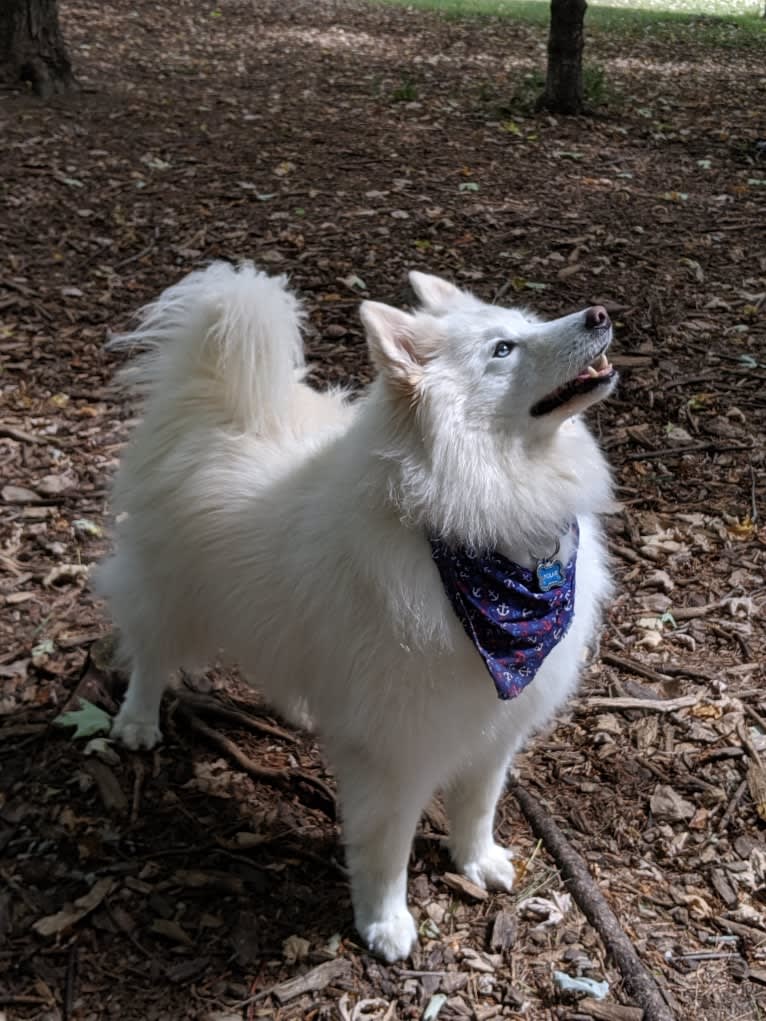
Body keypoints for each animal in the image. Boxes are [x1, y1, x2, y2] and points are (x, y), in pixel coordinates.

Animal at [96, 261, 620, 955]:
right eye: (503, 350)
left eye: (529, 323)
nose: (600, 314)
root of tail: (218, 396)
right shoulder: (396, 754)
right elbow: (386, 848)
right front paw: (385, 922)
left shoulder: (495, 730)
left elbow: (478, 804)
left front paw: (475, 861)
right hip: (169, 594)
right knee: (149, 652)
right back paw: (136, 721)